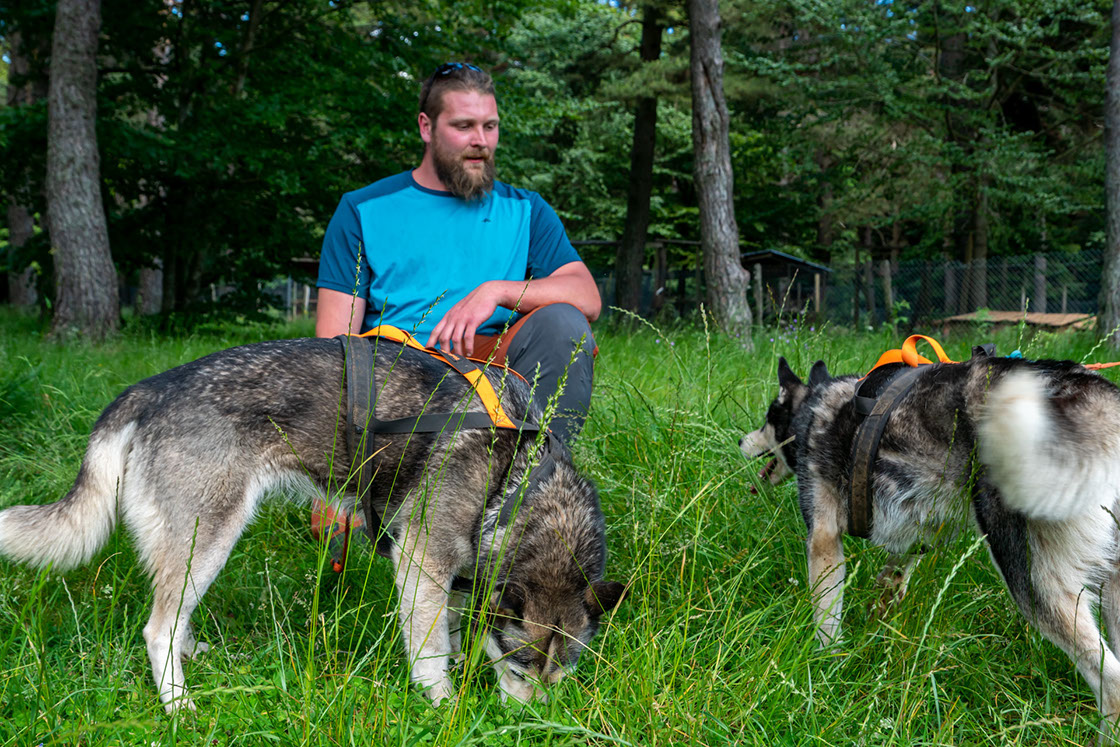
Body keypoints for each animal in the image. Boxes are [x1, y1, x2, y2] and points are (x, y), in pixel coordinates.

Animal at [0, 338, 627, 712]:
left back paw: (193, 655)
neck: (517, 478)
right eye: (521, 663)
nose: (533, 724)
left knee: (175, 622)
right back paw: (179, 706)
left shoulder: (456, 578)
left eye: (563, 673)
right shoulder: (422, 561)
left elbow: (451, 629)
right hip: (210, 535)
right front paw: (444, 706)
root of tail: (152, 388)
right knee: (159, 629)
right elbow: (430, 652)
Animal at [739, 353, 1120, 739]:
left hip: (1030, 576)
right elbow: (894, 575)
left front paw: (824, 665)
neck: (815, 407)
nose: (741, 441)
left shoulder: (823, 539)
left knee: (1111, 683)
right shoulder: (920, 532)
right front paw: (878, 615)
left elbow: (827, 618)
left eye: (768, 419)